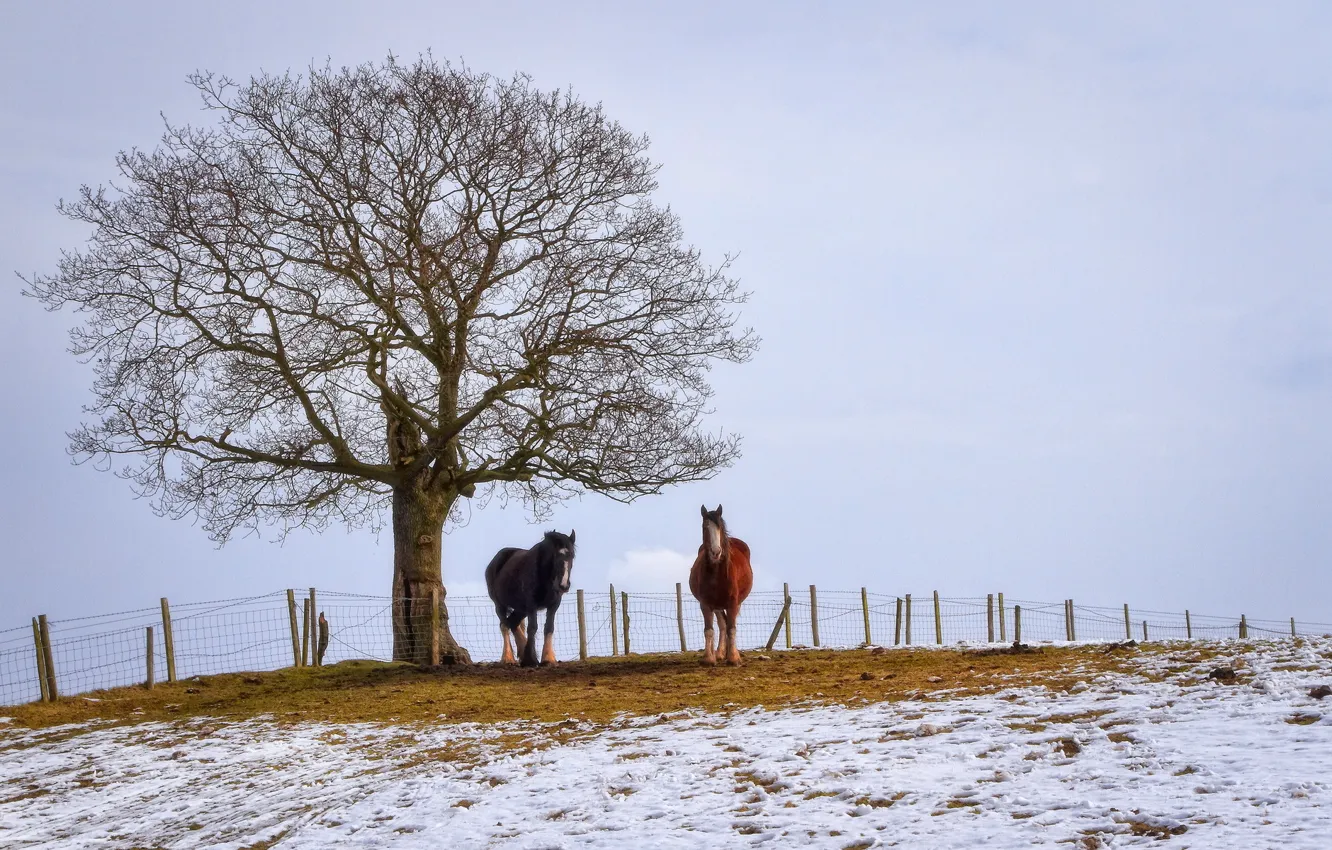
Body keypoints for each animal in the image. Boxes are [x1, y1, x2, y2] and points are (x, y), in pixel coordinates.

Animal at [487, 532, 575, 666]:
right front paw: (531, 660)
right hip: (500, 605)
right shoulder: (531, 605)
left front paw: (548, 659)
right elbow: (532, 628)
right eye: (555, 556)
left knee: (513, 623)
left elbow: (549, 627)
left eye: (572, 556)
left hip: (521, 609)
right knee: (504, 625)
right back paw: (508, 658)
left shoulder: (554, 605)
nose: (563, 585)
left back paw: (521, 653)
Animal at [692, 503, 756, 668]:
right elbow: (709, 630)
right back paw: (720, 653)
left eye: (720, 527)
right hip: (717, 606)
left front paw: (733, 658)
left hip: (735, 603)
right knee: (721, 625)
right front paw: (709, 658)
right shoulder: (706, 604)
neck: (716, 573)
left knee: (728, 625)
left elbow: (731, 629)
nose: (716, 552)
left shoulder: (732, 603)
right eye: (705, 527)